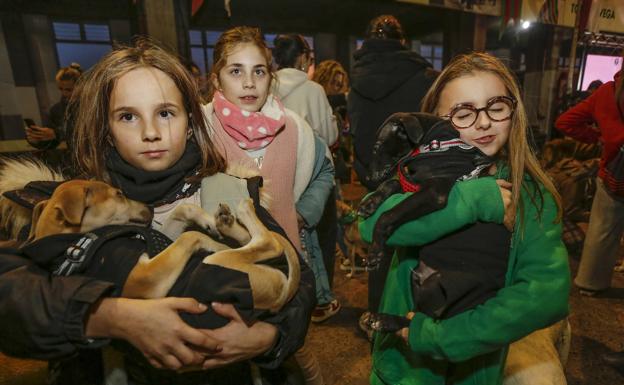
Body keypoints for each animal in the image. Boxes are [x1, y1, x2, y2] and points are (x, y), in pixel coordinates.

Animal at [28, 178, 302, 314]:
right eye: (119, 194)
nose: (151, 209)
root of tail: (278, 300)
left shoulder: (164, 240)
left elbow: (183, 211)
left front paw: (204, 219)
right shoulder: (143, 277)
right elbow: (191, 237)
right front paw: (213, 241)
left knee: (252, 240)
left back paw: (224, 222)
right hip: (220, 264)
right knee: (268, 243)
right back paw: (241, 212)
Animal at [358, 112, 510, 332]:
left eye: (377, 147)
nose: (369, 178)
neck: (433, 143)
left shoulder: (434, 192)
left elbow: (388, 215)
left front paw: (375, 251)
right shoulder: (412, 185)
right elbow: (391, 183)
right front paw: (369, 203)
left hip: (440, 284)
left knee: (420, 320)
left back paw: (384, 320)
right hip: (417, 277)